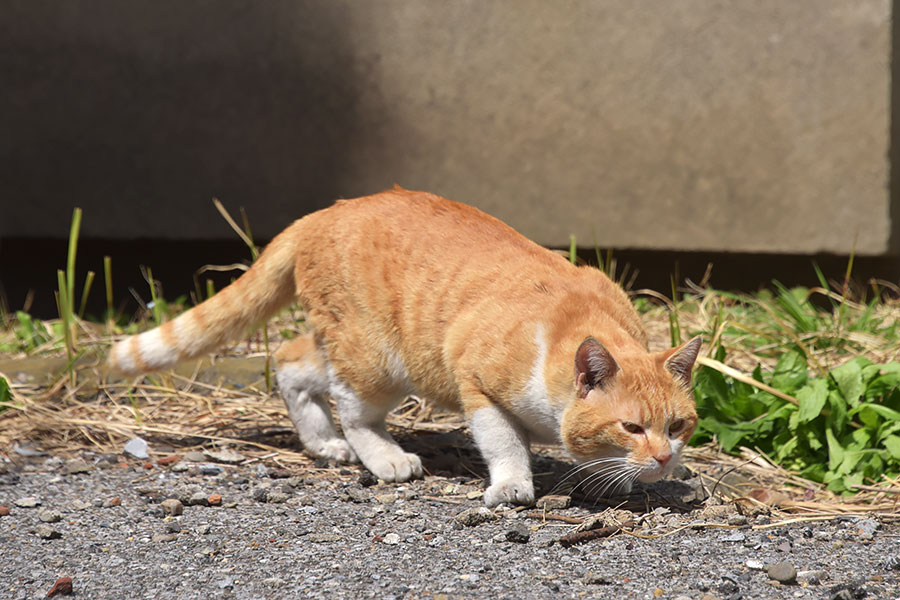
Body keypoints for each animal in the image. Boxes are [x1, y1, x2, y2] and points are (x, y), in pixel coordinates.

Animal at [107, 188, 704, 506]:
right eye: (631, 427)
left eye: (677, 426)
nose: (663, 457)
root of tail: (321, 213)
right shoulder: (477, 386)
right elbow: (505, 445)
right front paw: (513, 484)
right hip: (377, 360)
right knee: (353, 411)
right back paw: (384, 457)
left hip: (351, 348)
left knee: (291, 361)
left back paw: (322, 444)